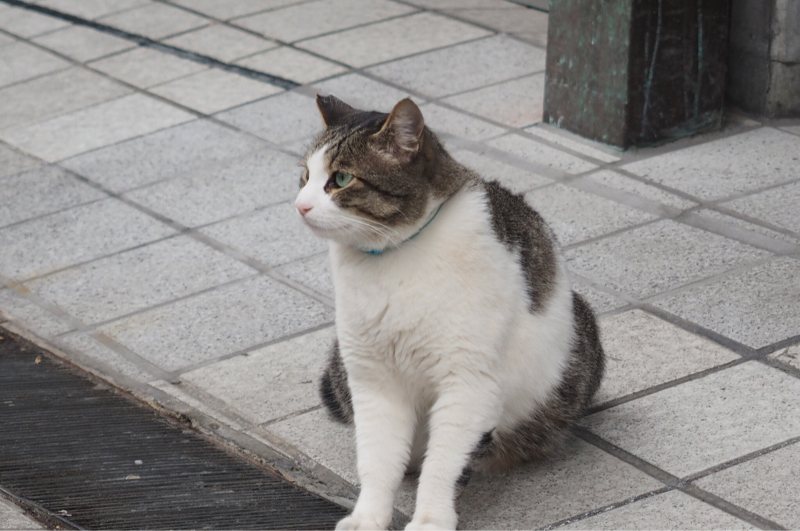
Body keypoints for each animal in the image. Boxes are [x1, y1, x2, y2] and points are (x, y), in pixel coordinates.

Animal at [296, 95, 604, 531]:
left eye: (340, 179)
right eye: (305, 176)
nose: (300, 205)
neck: (392, 261)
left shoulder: (469, 381)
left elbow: (443, 464)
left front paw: (430, 518)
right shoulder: (373, 379)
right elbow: (377, 459)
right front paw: (368, 516)